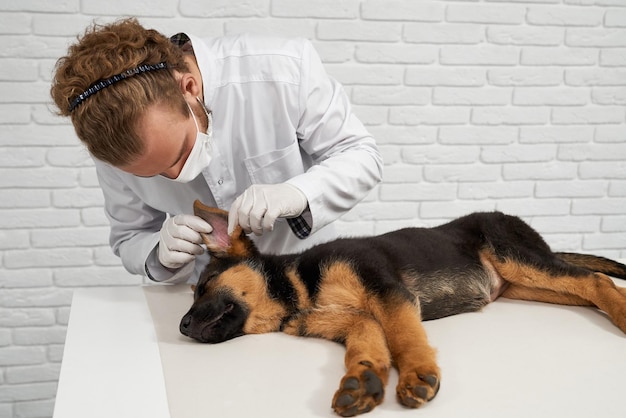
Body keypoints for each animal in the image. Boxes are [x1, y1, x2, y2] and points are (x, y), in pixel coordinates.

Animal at [178, 201, 624, 416]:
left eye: (205, 286)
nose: (181, 327)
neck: (298, 288)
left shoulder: (389, 292)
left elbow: (404, 335)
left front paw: (416, 374)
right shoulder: (352, 320)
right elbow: (368, 342)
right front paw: (363, 380)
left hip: (517, 258)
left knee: (596, 280)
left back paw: (620, 314)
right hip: (525, 285)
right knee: (588, 288)